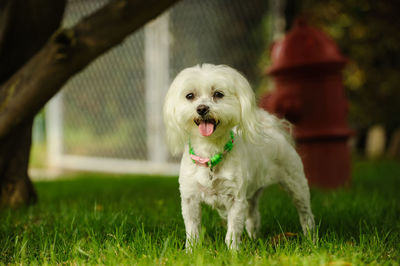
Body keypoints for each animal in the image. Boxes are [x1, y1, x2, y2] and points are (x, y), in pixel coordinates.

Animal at [164, 63, 314, 248]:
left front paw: (233, 251)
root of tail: (274, 131)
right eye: (189, 96)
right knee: (253, 216)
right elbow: (192, 230)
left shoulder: (236, 199)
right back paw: (254, 238)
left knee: (306, 214)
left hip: (296, 184)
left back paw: (311, 239)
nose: (202, 108)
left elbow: (233, 231)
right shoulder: (189, 198)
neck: (210, 152)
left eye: (218, 94)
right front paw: (191, 251)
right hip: (253, 193)